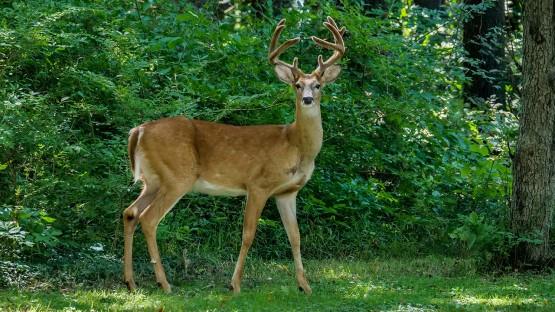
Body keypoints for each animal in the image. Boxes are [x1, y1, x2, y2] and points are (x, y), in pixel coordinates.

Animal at [124, 16, 346, 294]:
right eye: (297, 85)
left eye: (317, 85)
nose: (307, 99)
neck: (295, 144)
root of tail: (138, 130)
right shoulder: (258, 184)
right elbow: (248, 234)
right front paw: (235, 284)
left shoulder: (288, 192)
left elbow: (295, 236)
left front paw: (305, 286)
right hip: (177, 176)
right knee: (149, 219)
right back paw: (164, 283)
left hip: (152, 180)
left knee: (130, 213)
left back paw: (131, 282)